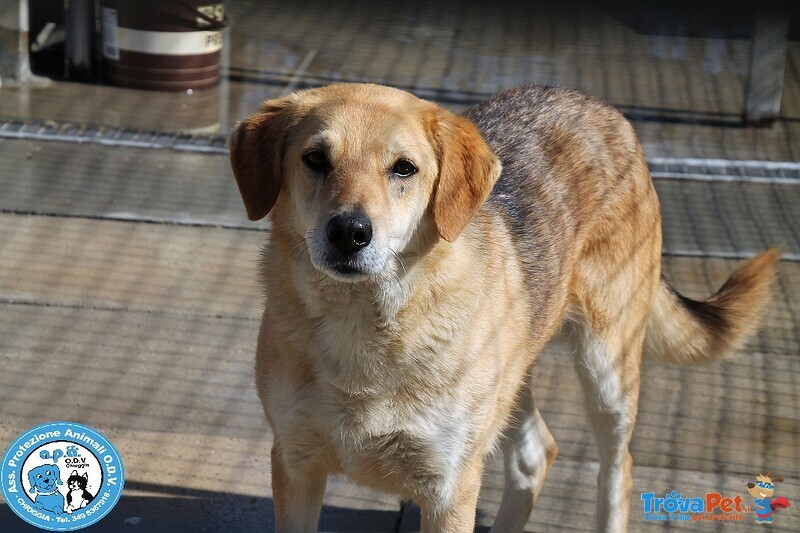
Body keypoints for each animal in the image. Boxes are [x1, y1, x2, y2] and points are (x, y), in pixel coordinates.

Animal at [228, 82, 780, 528]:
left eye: (404, 169)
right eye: (315, 159)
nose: (349, 232)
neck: (363, 321)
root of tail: (598, 105)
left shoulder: (449, 488)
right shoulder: (295, 464)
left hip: (607, 372)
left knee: (617, 469)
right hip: (512, 377)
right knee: (536, 454)